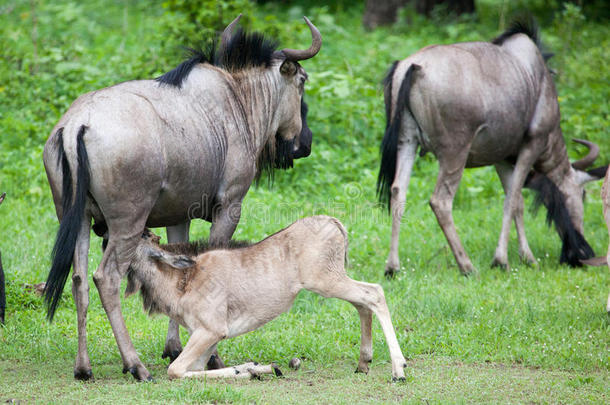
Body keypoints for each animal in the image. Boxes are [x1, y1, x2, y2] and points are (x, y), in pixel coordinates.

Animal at [126, 215, 406, 378]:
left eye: (141, 237)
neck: (183, 281)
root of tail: (334, 223)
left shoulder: (211, 330)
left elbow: (175, 370)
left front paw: (246, 370)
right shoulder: (208, 337)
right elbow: (191, 368)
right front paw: (255, 368)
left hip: (326, 281)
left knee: (374, 293)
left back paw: (398, 370)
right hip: (335, 280)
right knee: (362, 303)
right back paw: (363, 363)